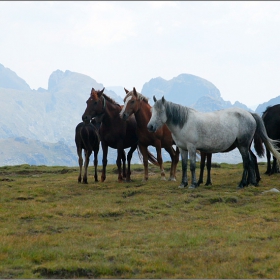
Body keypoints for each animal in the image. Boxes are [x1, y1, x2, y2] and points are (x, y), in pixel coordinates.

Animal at [147, 95, 280, 189]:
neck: (184, 123)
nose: (150, 127)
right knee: (251, 160)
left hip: (243, 145)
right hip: (243, 146)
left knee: (247, 162)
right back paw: (251, 182)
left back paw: (242, 183)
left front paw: (193, 184)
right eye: (152, 111)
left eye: (160, 111)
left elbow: (192, 166)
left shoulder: (192, 148)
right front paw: (183, 184)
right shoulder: (183, 149)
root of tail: (250, 114)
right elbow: (184, 166)